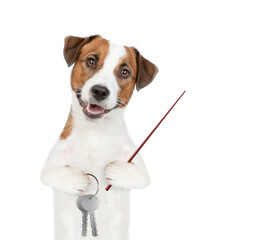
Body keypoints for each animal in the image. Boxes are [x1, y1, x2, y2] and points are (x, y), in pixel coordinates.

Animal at [40, 34, 157, 240]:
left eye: (124, 72)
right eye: (91, 61)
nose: (100, 91)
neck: (94, 132)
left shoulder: (140, 170)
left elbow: (140, 176)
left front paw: (115, 170)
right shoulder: (48, 168)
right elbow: (51, 174)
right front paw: (77, 179)